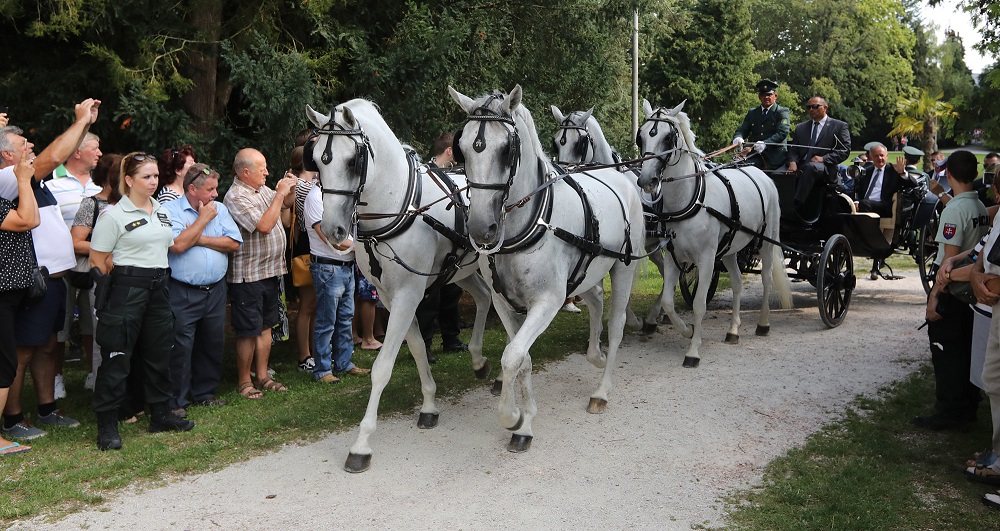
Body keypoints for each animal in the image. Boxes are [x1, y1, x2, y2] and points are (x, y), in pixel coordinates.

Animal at [304, 101, 504, 474]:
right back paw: (478, 360)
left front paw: (361, 444)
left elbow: (382, 367)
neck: (399, 205)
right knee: (484, 299)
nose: (333, 229)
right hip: (462, 271)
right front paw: (429, 405)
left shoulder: (408, 294)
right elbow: (417, 348)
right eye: (318, 162)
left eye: (352, 161)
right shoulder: (391, 296)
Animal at [450, 86, 644, 454]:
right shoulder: (504, 303)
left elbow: (512, 356)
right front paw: (525, 423)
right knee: (596, 299)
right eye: (463, 147)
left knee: (617, 325)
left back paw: (602, 390)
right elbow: (522, 358)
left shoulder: (548, 301)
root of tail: (622, 177)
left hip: (624, 266)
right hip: (586, 270)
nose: (481, 229)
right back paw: (595, 355)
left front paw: (512, 417)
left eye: (506, 149)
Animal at [636, 100, 792, 368]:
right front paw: (687, 330)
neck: (690, 199)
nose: (646, 180)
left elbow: (699, 304)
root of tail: (761, 173)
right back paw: (733, 331)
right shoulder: (673, 257)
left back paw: (763, 324)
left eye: (668, 138)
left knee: (767, 279)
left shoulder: (707, 259)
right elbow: (668, 301)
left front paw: (693, 351)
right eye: (642, 137)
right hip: (729, 249)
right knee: (738, 282)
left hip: (766, 242)